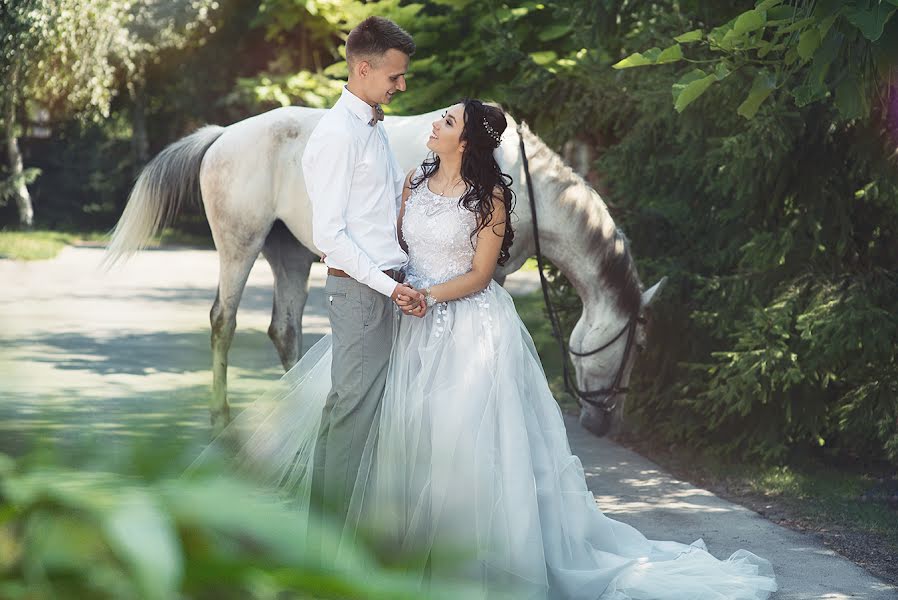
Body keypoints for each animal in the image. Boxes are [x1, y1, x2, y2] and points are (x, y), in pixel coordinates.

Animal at [107, 106, 664, 436]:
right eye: (637, 346)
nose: (604, 424)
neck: (524, 181)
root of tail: (223, 135)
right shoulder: (495, 270)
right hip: (240, 243)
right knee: (223, 321)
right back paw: (221, 419)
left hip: (289, 254)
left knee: (284, 329)